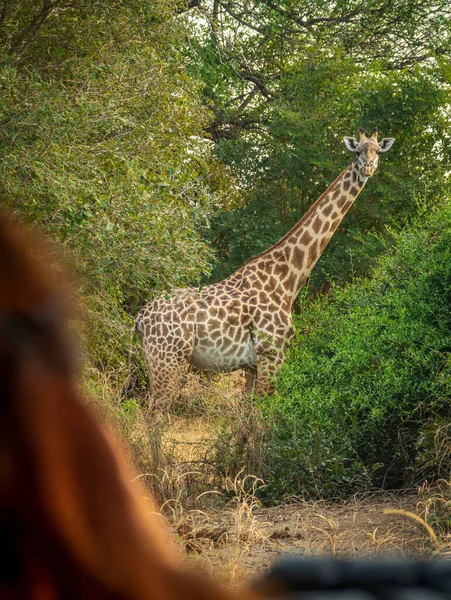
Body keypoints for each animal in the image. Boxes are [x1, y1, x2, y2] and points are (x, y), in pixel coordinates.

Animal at [134, 128, 396, 410]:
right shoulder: (272, 355)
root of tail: (141, 318)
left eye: (377, 151)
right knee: (155, 412)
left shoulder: (252, 365)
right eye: (357, 151)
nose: (367, 167)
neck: (288, 278)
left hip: (156, 361)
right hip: (169, 360)